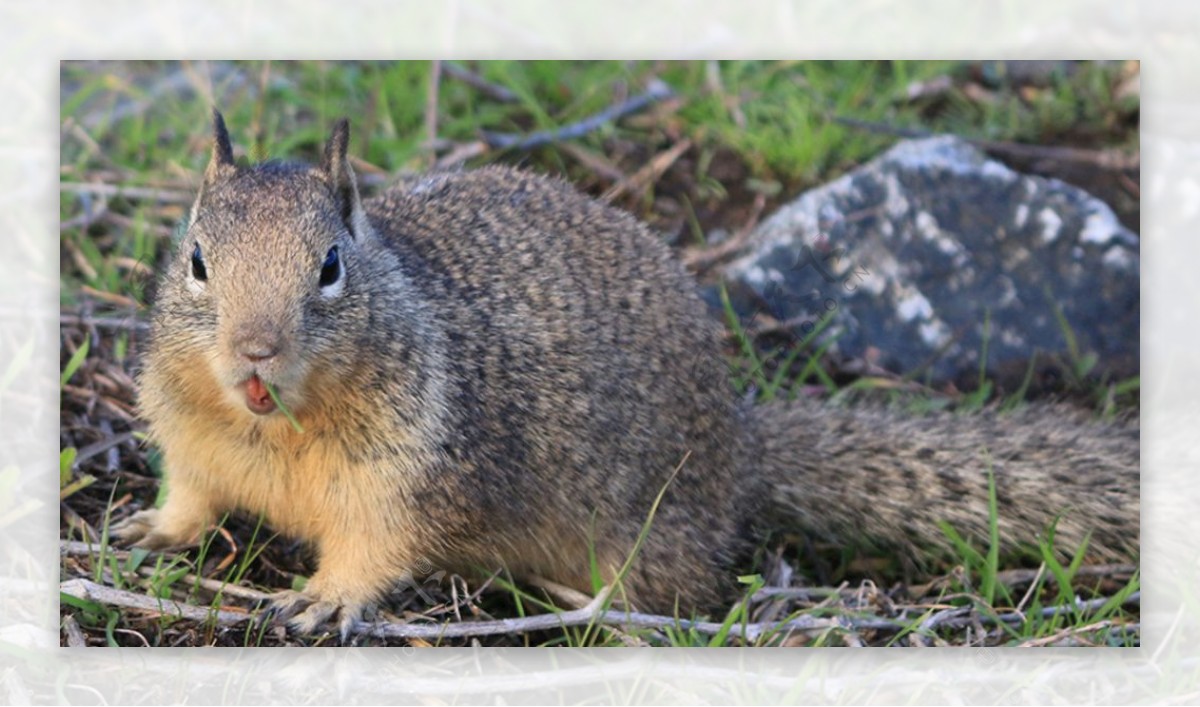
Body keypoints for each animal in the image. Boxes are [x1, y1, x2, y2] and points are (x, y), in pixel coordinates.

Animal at [110, 111, 1132, 633]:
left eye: (330, 266)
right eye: (196, 260)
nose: (255, 350)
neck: (273, 426)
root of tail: (743, 449)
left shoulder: (411, 475)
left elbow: (377, 551)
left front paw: (321, 598)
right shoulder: (193, 441)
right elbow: (192, 496)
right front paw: (151, 530)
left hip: (651, 531)